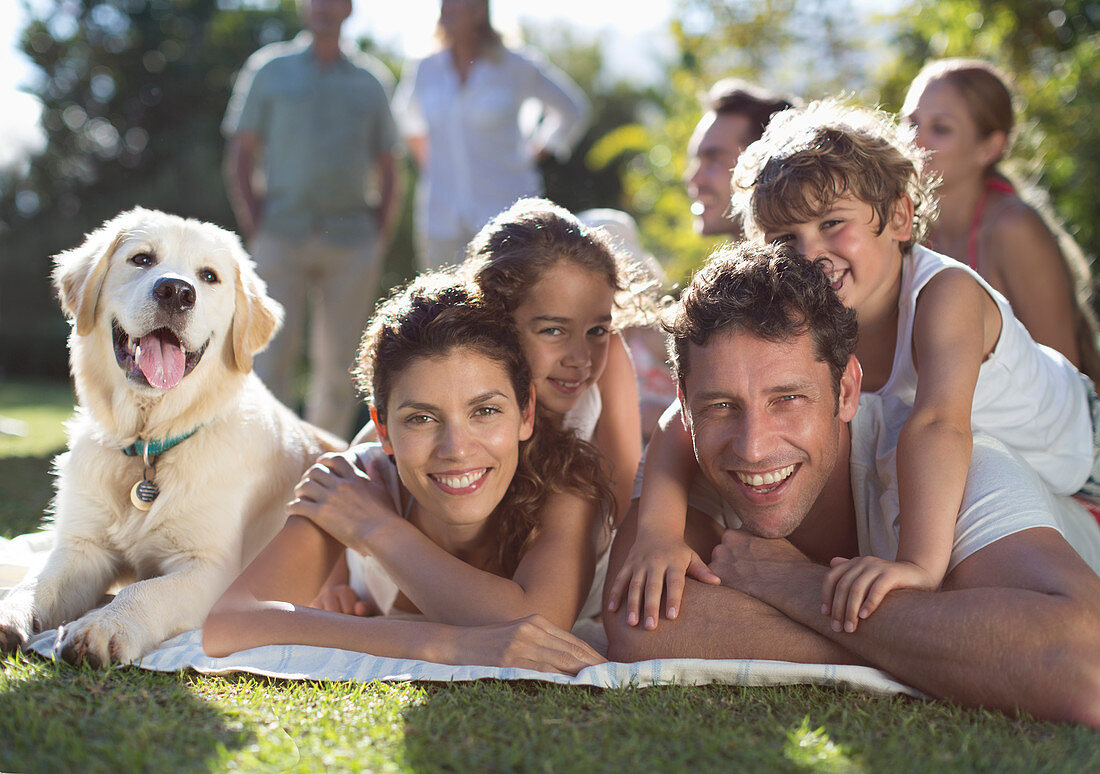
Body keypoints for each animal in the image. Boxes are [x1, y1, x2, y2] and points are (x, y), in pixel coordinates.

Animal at [0, 206, 343, 664]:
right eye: (142, 259)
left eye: (209, 276)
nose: (177, 292)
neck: (150, 439)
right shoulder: (82, 549)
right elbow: (40, 582)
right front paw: (11, 611)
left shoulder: (211, 568)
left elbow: (147, 589)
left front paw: (105, 625)